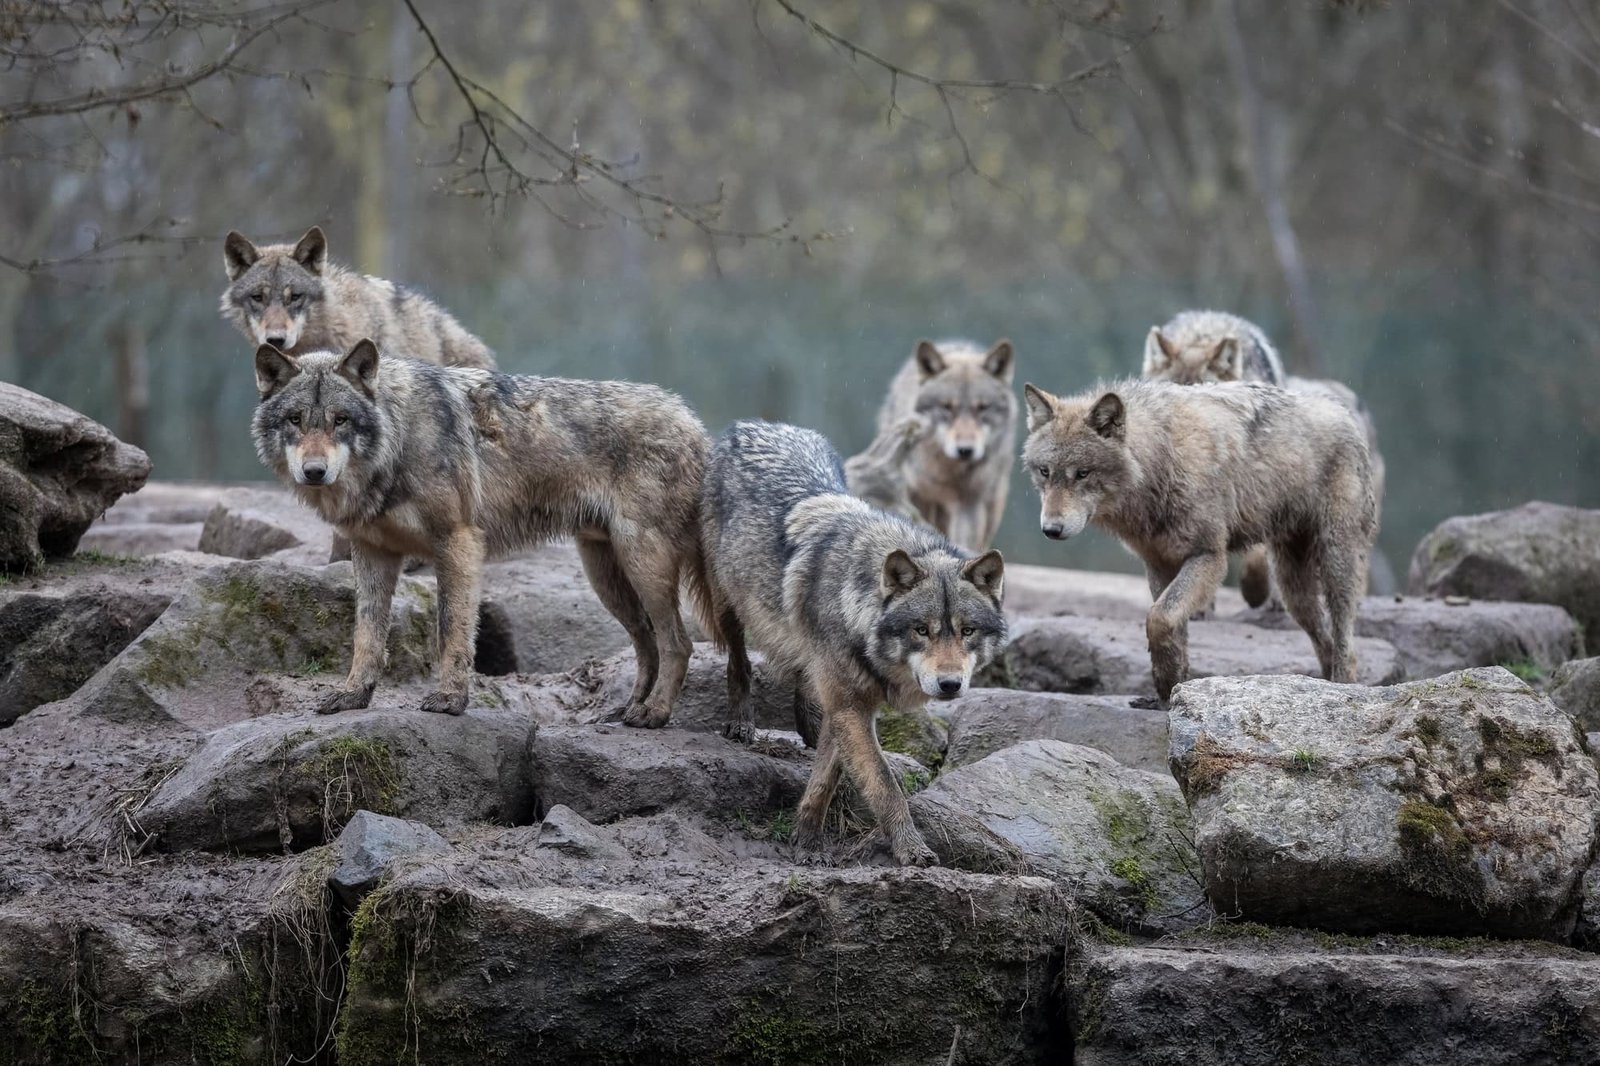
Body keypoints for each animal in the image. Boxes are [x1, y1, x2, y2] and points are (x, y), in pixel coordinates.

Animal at [251, 340, 710, 722]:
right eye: (295, 420)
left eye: (341, 420)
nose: (314, 472)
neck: (399, 441)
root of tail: (694, 422)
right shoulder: (372, 552)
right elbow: (367, 634)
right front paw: (353, 695)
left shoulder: (458, 542)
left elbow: (451, 628)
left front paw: (451, 700)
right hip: (605, 576)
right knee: (647, 641)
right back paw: (629, 708)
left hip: (641, 563)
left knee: (677, 642)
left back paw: (654, 714)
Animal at [701, 420, 1008, 866]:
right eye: (922, 630)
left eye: (966, 631)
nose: (950, 685)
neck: (855, 606)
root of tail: (755, 424)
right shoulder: (850, 707)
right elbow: (884, 784)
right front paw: (910, 849)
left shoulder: (849, 708)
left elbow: (826, 777)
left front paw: (806, 839)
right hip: (727, 603)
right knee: (738, 660)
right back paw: (741, 721)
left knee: (806, 683)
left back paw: (808, 724)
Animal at [874, 339, 1017, 552]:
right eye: (947, 407)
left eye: (982, 408)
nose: (965, 450)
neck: (949, 472)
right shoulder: (919, 497)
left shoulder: (969, 504)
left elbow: (965, 540)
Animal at [1022, 379, 1376, 704]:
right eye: (1045, 471)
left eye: (1082, 473)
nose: (1050, 529)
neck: (1162, 461)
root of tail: (1344, 412)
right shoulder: (1159, 563)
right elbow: (1171, 626)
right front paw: (1170, 689)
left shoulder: (1209, 557)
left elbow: (1160, 618)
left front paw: (1167, 684)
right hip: (1294, 591)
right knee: (1324, 639)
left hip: (1334, 563)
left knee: (1345, 637)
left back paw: (1343, 688)